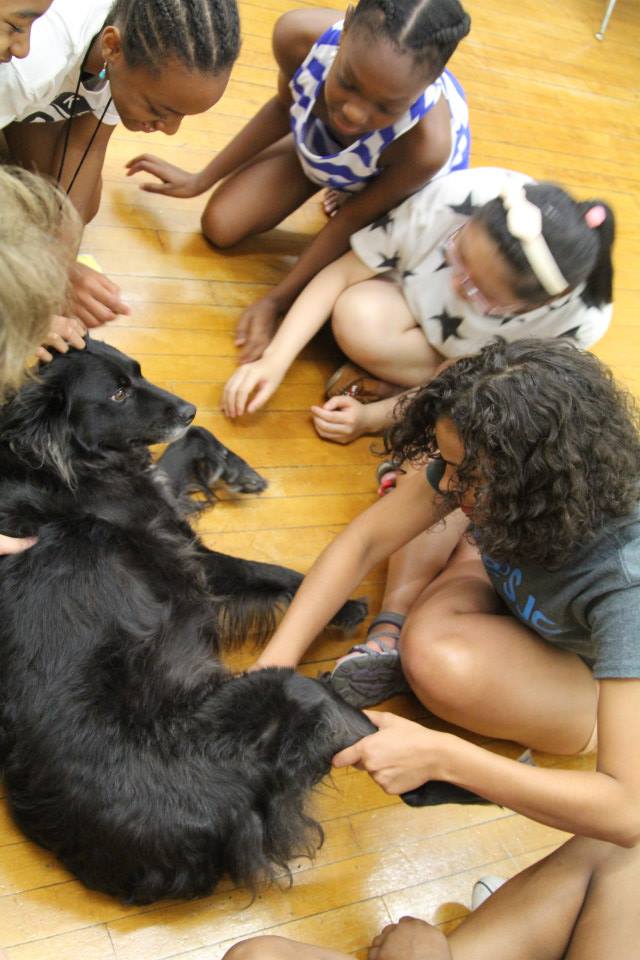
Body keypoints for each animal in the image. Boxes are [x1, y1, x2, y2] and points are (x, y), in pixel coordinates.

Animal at [0, 342, 482, 904]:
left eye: (137, 373)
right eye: (117, 393)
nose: (188, 407)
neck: (50, 463)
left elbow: (189, 445)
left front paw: (233, 468)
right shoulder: (188, 553)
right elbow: (268, 572)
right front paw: (344, 608)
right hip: (289, 693)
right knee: (402, 771)